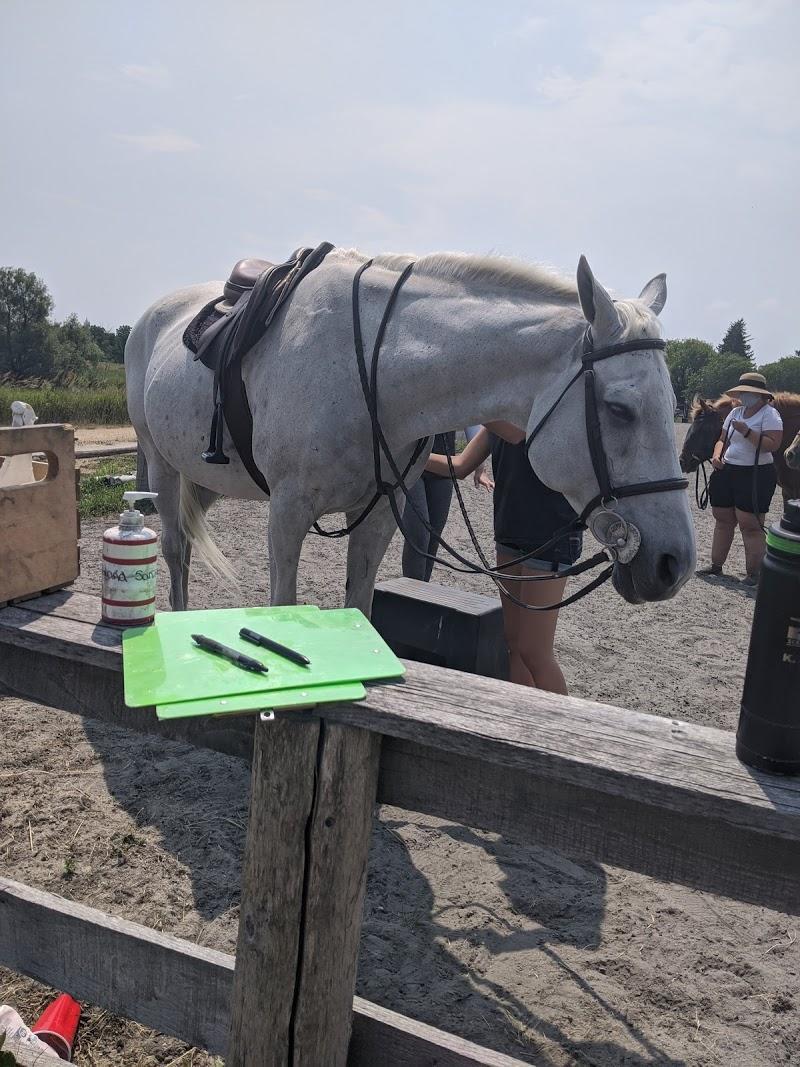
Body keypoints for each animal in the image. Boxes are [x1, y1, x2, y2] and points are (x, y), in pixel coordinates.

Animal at [125, 250, 695, 615]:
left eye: (672, 405)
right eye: (619, 409)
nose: (675, 563)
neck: (373, 369)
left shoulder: (378, 515)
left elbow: (360, 606)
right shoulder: (287, 511)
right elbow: (281, 604)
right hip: (161, 463)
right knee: (173, 549)